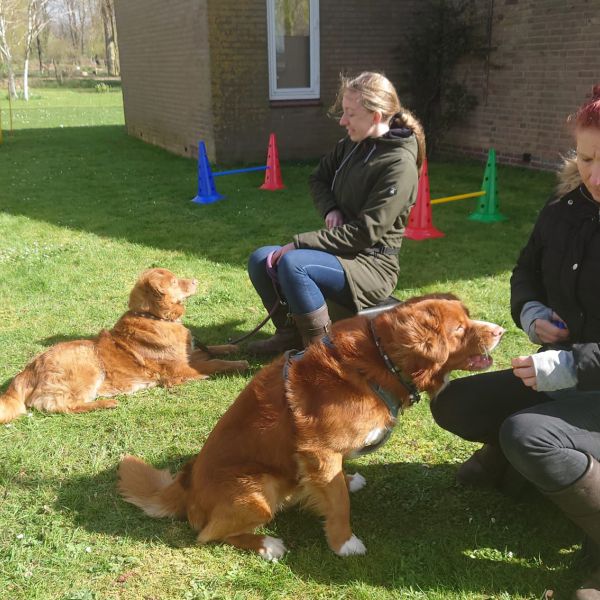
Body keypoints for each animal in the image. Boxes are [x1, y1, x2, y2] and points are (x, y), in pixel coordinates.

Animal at [0, 268, 248, 422]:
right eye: (175, 281)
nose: (196, 281)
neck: (154, 317)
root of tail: (27, 370)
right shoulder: (179, 369)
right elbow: (214, 363)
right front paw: (238, 363)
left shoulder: (187, 355)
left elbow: (212, 349)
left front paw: (232, 348)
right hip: (88, 365)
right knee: (63, 406)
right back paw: (106, 404)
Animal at [119, 292, 504, 560]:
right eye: (459, 329)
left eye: (468, 318)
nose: (500, 329)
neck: (381, 361)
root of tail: (186, 486)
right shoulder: (321, 450)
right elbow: (338, 502)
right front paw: (344, 542)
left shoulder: (324, 454)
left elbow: (336, 483)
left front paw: (348, 481)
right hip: (258, 492)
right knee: (209, 534)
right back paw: (266, 544)